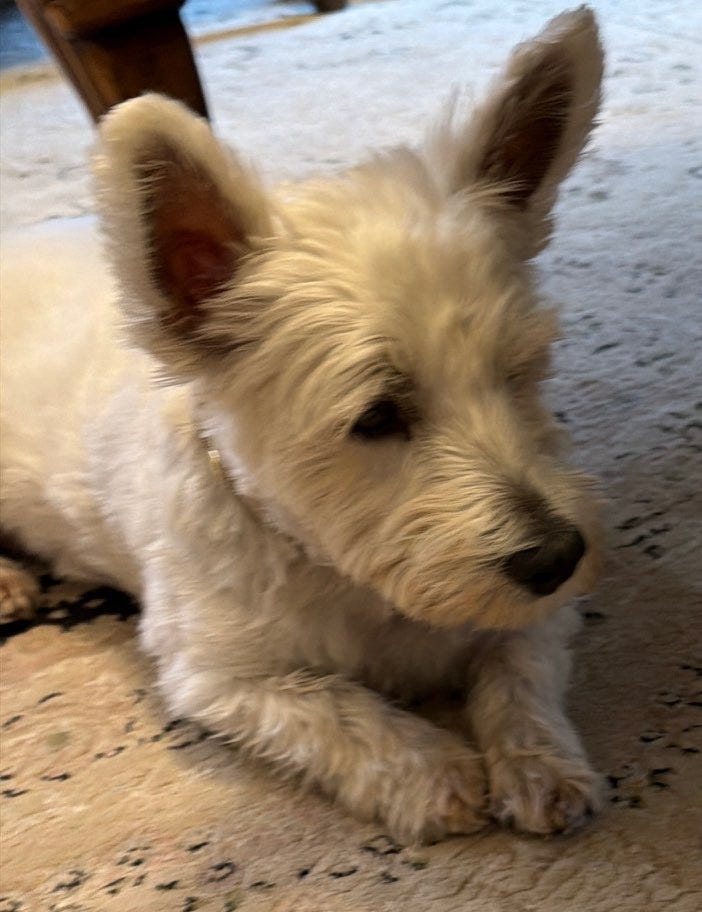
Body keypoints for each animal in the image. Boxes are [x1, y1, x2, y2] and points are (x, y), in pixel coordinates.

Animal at [0, 8, 605, 843]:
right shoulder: (218, 673)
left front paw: (540, 764)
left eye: (517, 370)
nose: (558, 554)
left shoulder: (535, 610)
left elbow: (520, 669)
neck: (345, 571)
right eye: (378, 415)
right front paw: (435, 772)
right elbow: (338, 710)